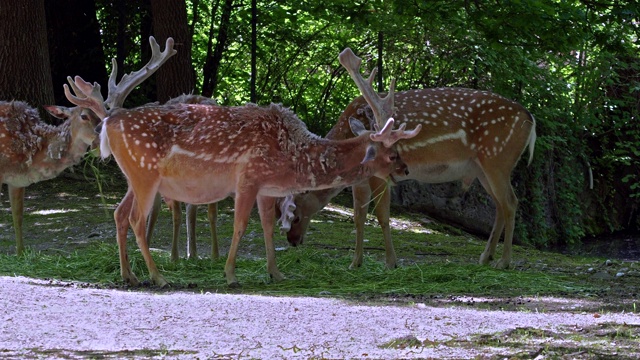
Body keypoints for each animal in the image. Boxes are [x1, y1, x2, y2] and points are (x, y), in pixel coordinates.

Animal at [95, 48, 422, 290]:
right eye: (392, 153)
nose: (406, 171)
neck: (291, 157)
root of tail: (108, 123)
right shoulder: (249, 178)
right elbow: (240, 225)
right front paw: (230, 274)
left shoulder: (267, 188)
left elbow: (267, 226)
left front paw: (275, 273)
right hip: (146, 174)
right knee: (136, 219)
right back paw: (158, 277)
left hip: (134, 177)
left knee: (119, 214)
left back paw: (129, 275)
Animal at [282, 50, 536, 270]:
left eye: (300, 197)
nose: (292, 238)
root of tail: (531, 120)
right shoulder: (359, 181)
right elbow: (358, 217)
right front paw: (355, 263)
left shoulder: (379, 175)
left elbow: (382, 216)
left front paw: (391, 262)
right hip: (482, 168)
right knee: (500, 205)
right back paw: (485, 257)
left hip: (498, 158)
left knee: (510, 202)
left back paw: (504, 262)